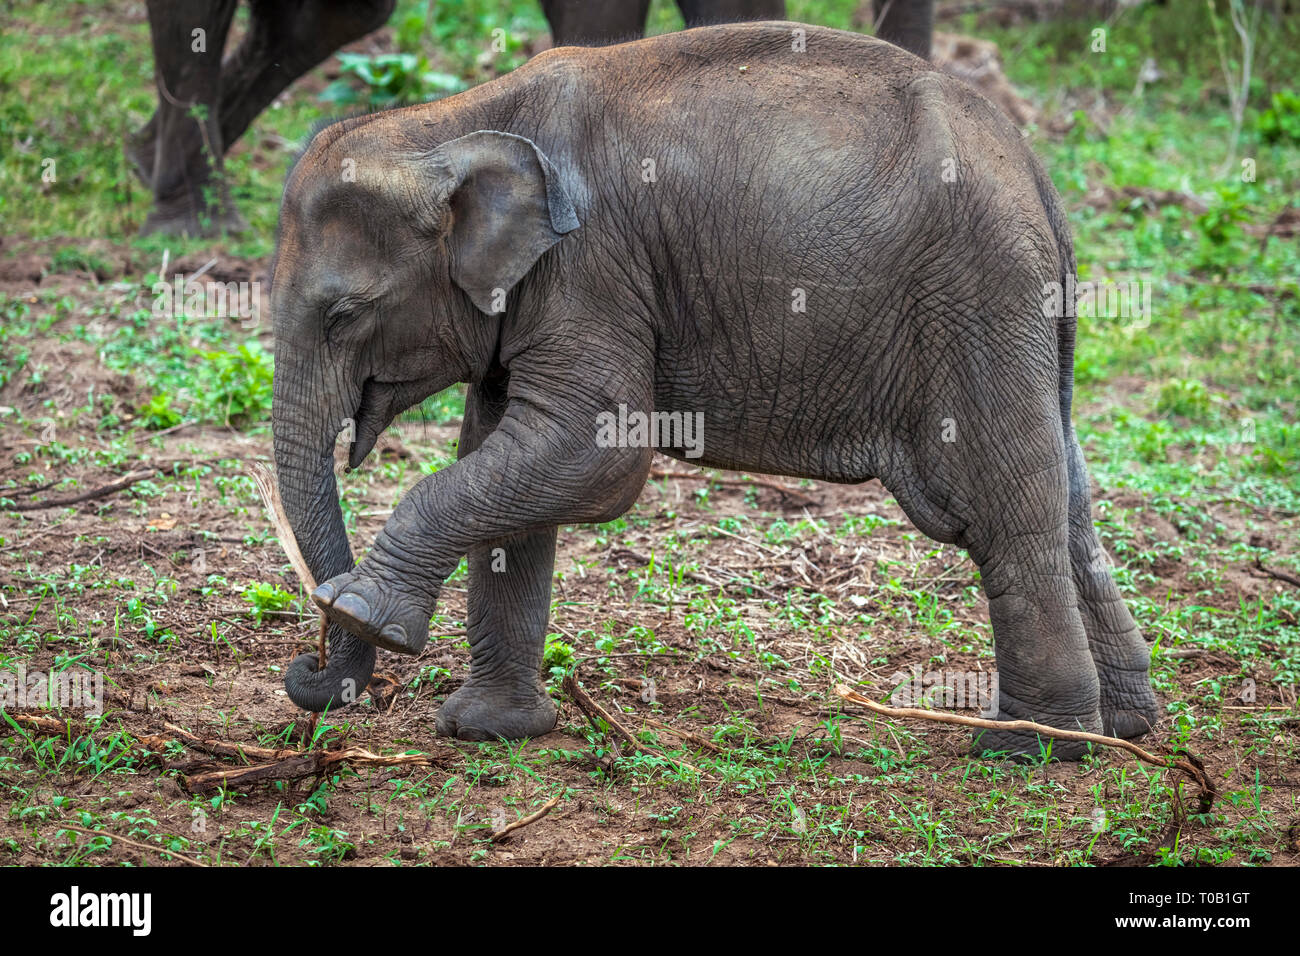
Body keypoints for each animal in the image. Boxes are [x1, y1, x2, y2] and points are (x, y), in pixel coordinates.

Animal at [271, 18, 1159, 759]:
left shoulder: (590, 268)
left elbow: (595, 459)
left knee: (1003, 507)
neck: (451, 121)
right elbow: (503, 461)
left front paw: (360, 612)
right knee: (1068, 497)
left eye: (344, 313)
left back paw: (1032, 747)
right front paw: (488, 731)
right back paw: (1122, 731)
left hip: (975, 297)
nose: (309, 673)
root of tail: (1040, 180)